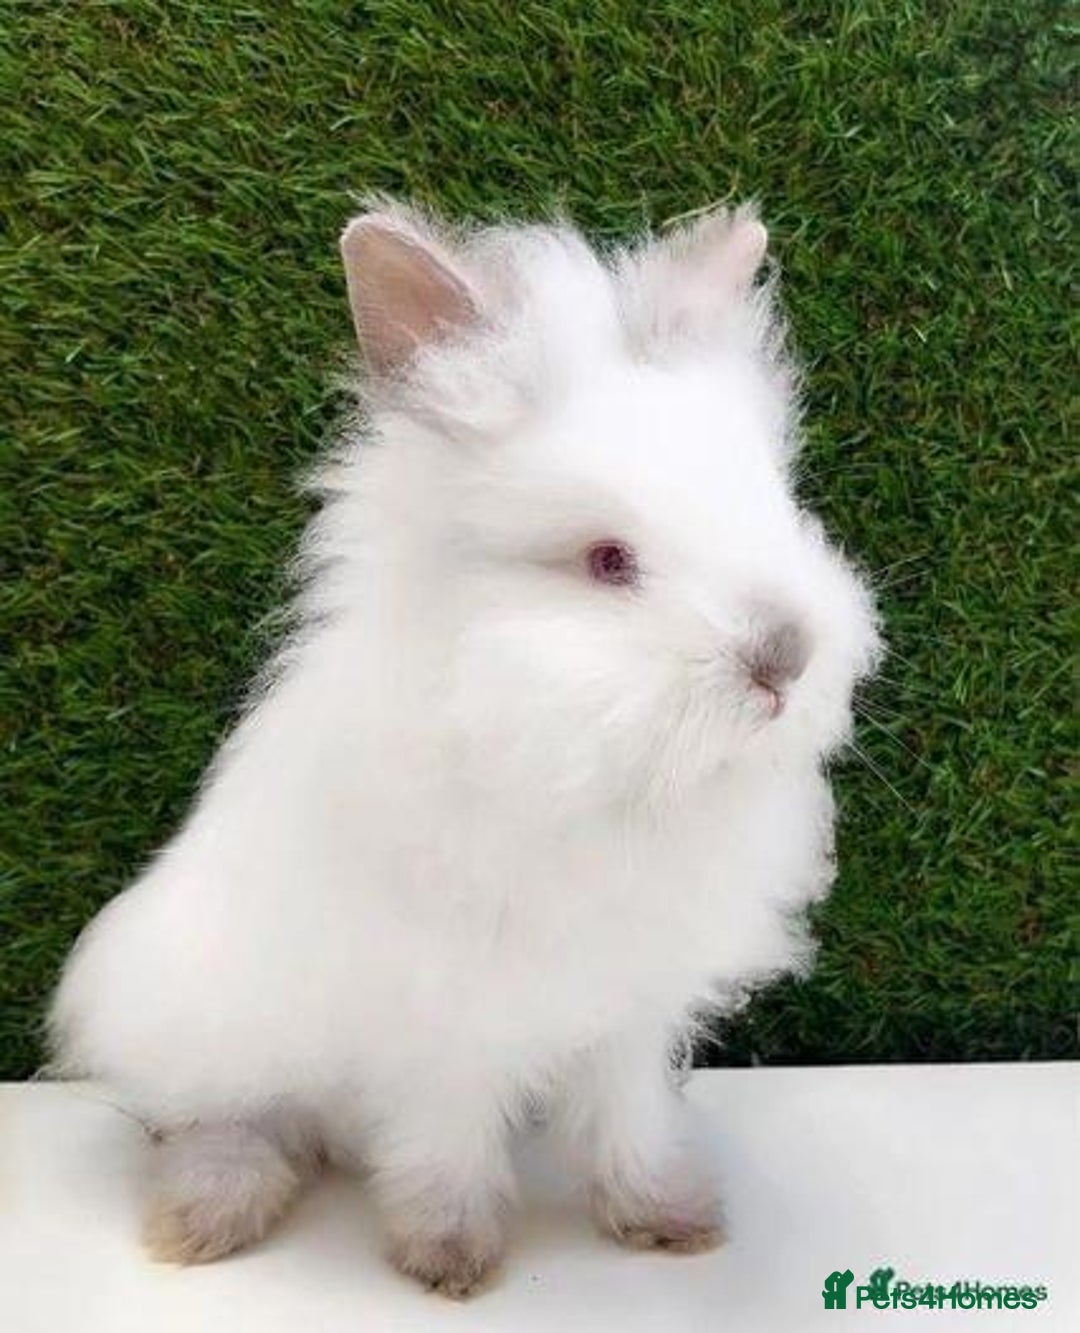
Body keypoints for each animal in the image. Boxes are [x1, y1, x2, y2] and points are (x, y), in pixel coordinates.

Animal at [48, 198, 881, 1298]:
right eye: (607, 560)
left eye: (779, 510)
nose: (784, 657)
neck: (576, 764)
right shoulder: (438, 1019)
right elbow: (442, 1141)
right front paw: (449, 1257)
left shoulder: (630, 1010)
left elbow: (629, 1121)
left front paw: (667, 1222)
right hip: (205, 1019)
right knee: (217, 1120)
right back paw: (211, 1214)